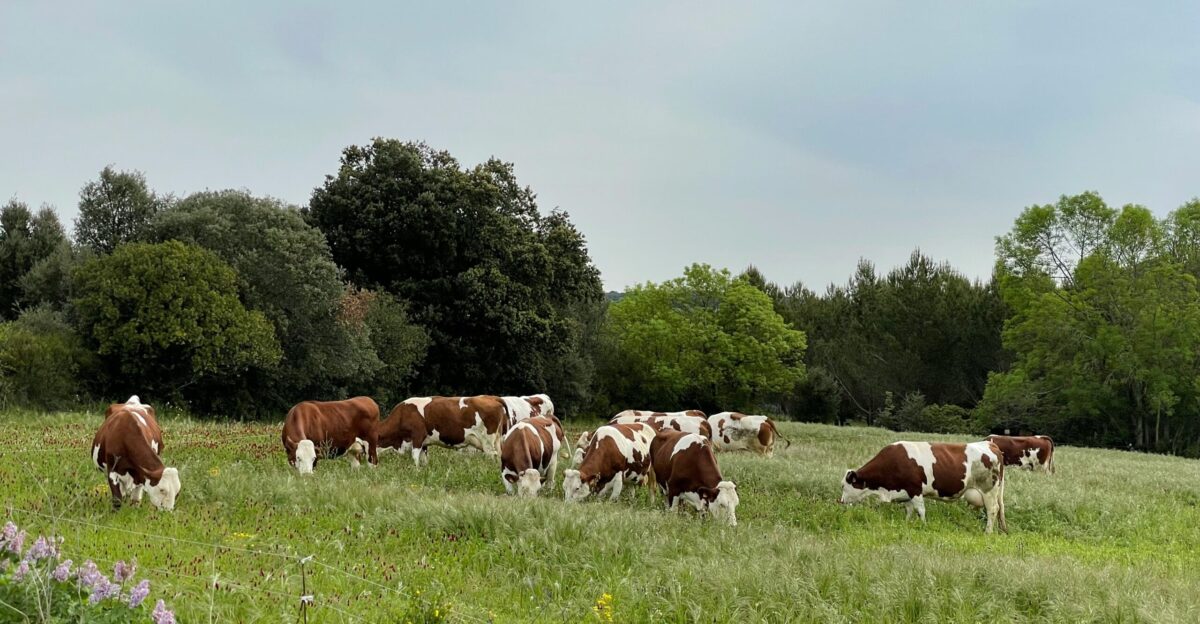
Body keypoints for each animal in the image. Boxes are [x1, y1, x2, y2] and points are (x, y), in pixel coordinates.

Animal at [377, 395, 508, 465]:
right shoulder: (424, 443)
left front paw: (415, 470)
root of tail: (490, 397)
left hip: (487, 441)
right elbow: (424, 459)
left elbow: (414, 457)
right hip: (496, 440)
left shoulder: (417, 436)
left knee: (492, 455)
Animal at [840, 441, 1007, 534]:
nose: (840, 501)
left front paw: (923, 526)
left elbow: (920, 511)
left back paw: (987, 532)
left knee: (992, 510)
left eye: (843, 486)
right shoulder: (906, 492)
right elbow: (909, 510)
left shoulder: (915, 490)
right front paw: (907, 524)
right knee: (999, 509)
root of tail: (991, 444)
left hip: (988, 490)